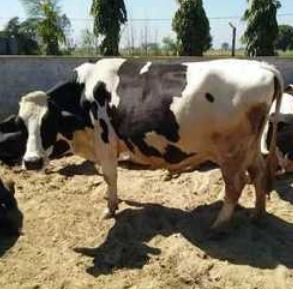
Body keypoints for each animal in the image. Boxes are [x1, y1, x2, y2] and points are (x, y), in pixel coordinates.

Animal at [17, 58, 282, 230]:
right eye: (22, 124)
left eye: (48, 121)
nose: (31, 162)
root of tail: (263, 65)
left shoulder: (105, 140)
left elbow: (110, 176)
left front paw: (110, 208)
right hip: (251, 147)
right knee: (258, 174)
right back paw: (258, 215)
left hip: (230, 152)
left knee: (236, 184)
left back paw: (219, 225)